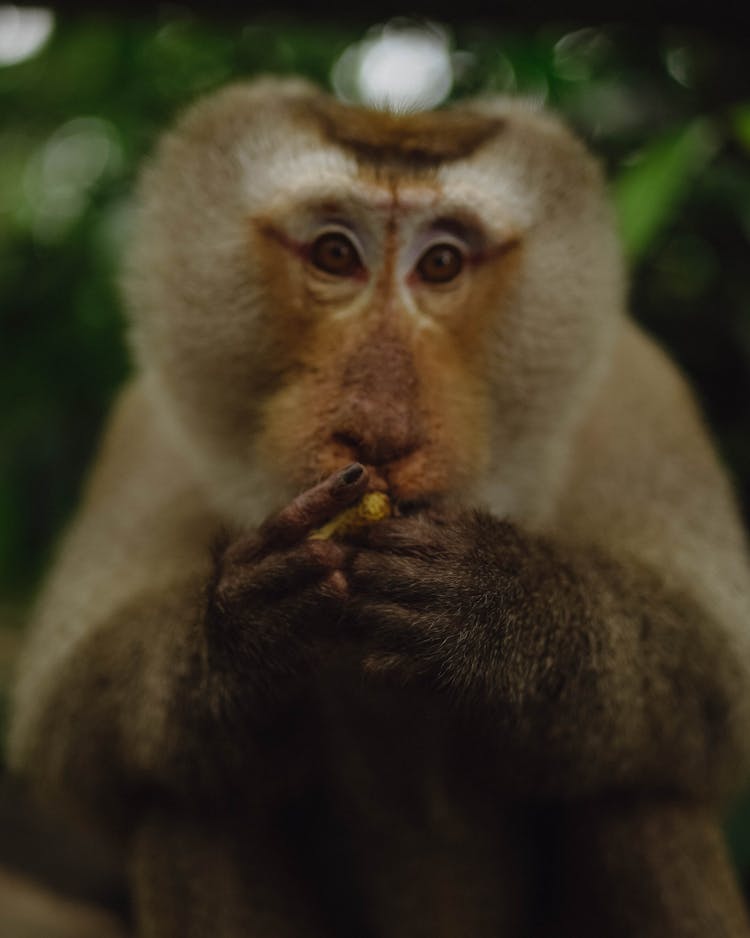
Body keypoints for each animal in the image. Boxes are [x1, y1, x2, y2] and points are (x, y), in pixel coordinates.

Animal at [8, 78, 750, 936]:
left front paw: (501, 604)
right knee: (188, 803)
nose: (381, 432)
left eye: (442, 263)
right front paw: (243, 635)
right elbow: (73, 732)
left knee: (640, 791)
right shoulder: (146, 428)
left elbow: (718, 680)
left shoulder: (637, 386)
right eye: (336, 253)